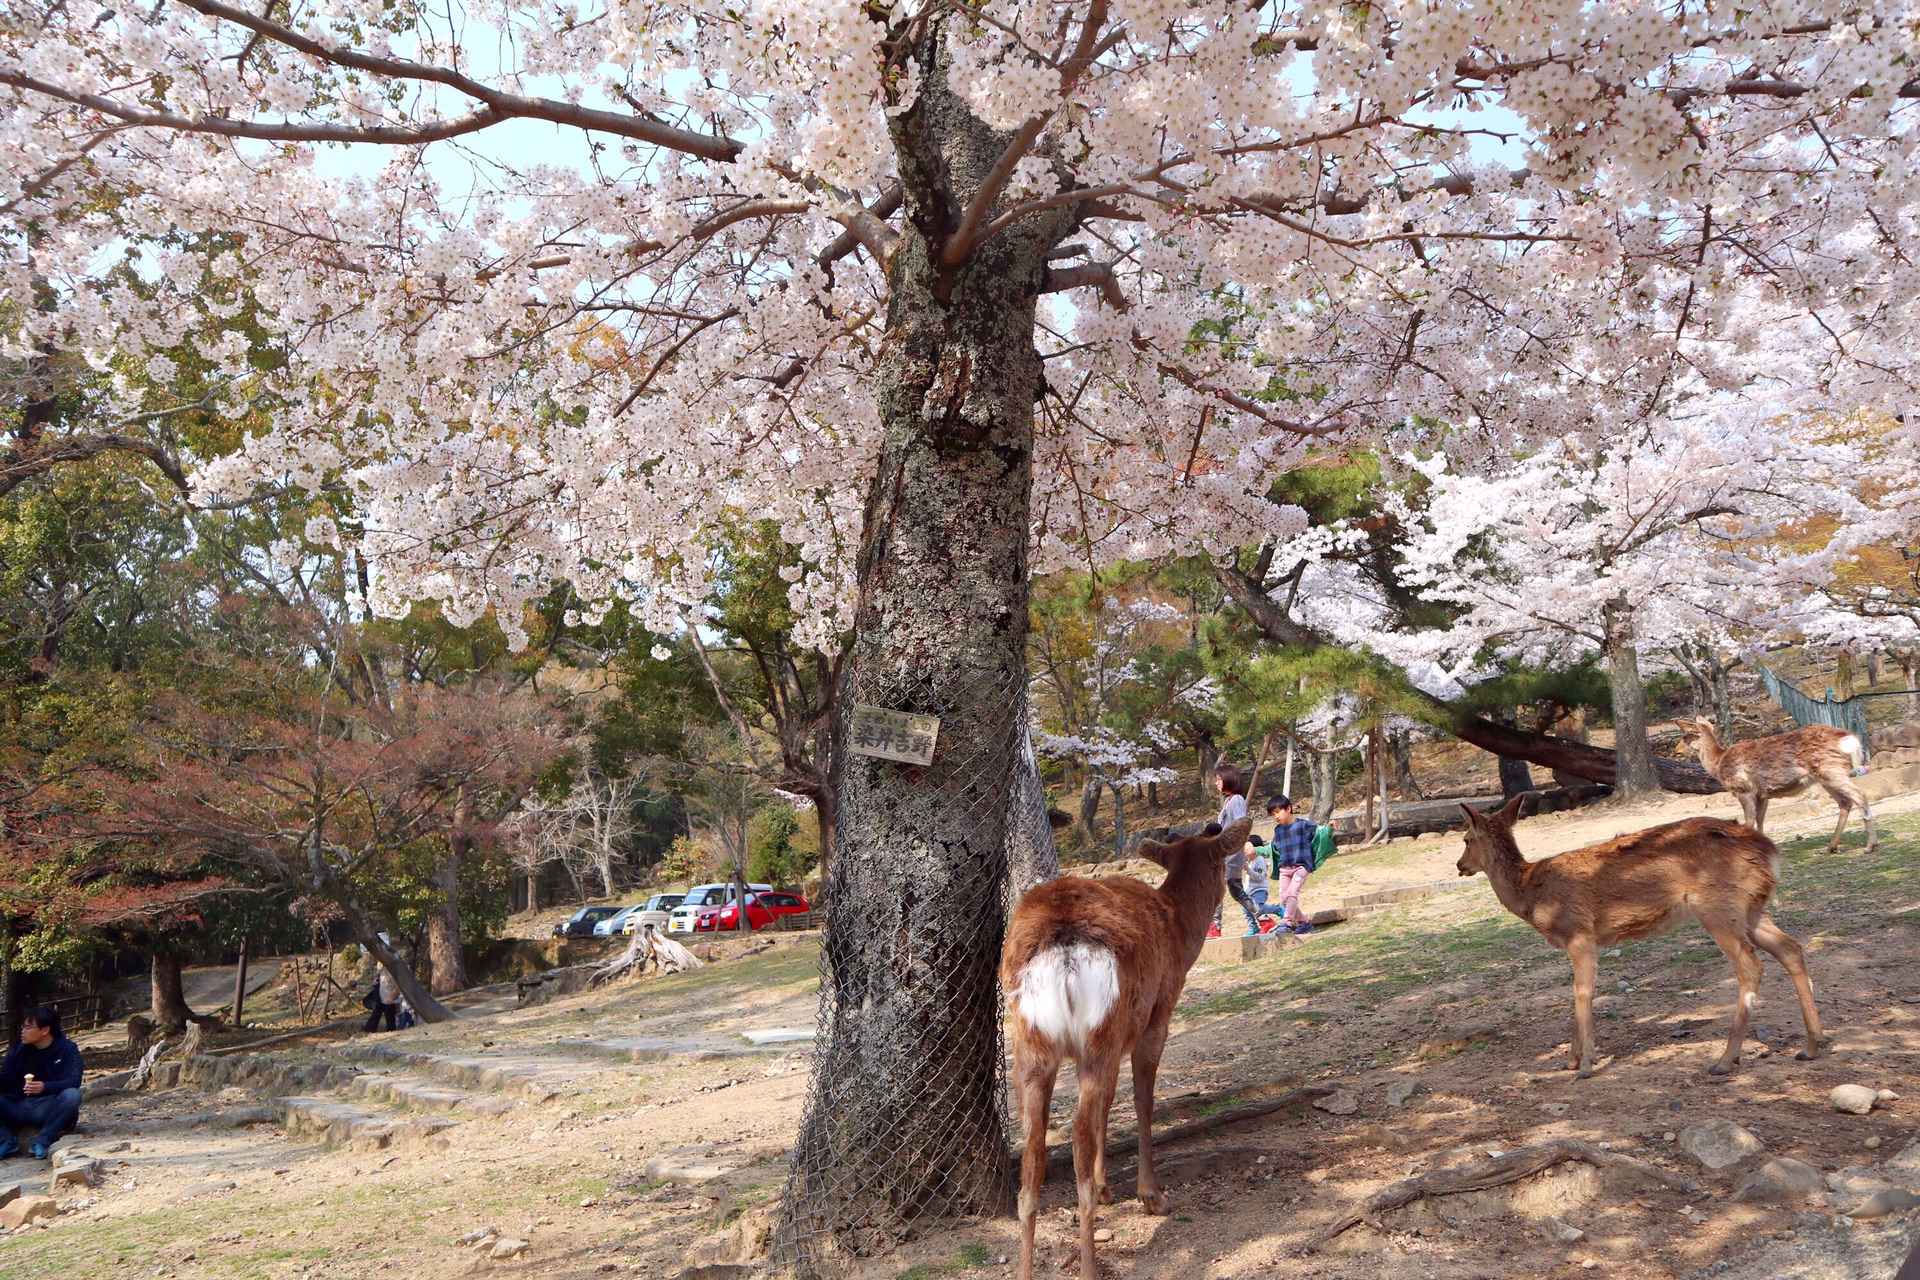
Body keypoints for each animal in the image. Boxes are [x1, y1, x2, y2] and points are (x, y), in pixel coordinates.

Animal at [998, 817, 1251, 1280]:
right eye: (1225, 861)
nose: (1233, 890)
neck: (1177, 932)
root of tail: (1062, 947)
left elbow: (1109, 1106)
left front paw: (1106, 1186)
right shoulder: (1157, 1015)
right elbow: (1142, 1100)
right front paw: (1151, 1195)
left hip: (1032, 1040)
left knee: (1034, 1146)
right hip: (1104, 1026)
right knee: (1078, 1131)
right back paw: (1090, 1262)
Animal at [1459, 802, 1820, 1082]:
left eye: (1466, 839)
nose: (1460, 865)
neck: (1531, 895)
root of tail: (1770, 851)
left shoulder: (1579, 934)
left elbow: (1582, 993)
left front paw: (1585, 1065)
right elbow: (1575, 994)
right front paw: (1571, 1059)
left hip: (1719, 907)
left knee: (1750, 966)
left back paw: (1724, 1060)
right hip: (1751, 908)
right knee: (1791, 948)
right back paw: (1812, 1045)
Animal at [1681, 717, 1873, 855]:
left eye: (1684, 736)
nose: (1676, 750)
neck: (1718, 764)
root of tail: (1850, 740)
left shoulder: (1743, 789)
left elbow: (1749, 820)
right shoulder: (1762, 794)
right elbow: (1760, 820)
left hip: (1831, 769)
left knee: (1859, 794)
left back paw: (1870, 846)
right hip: (1826, 776)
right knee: (1845, 802)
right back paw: (1830, 848)